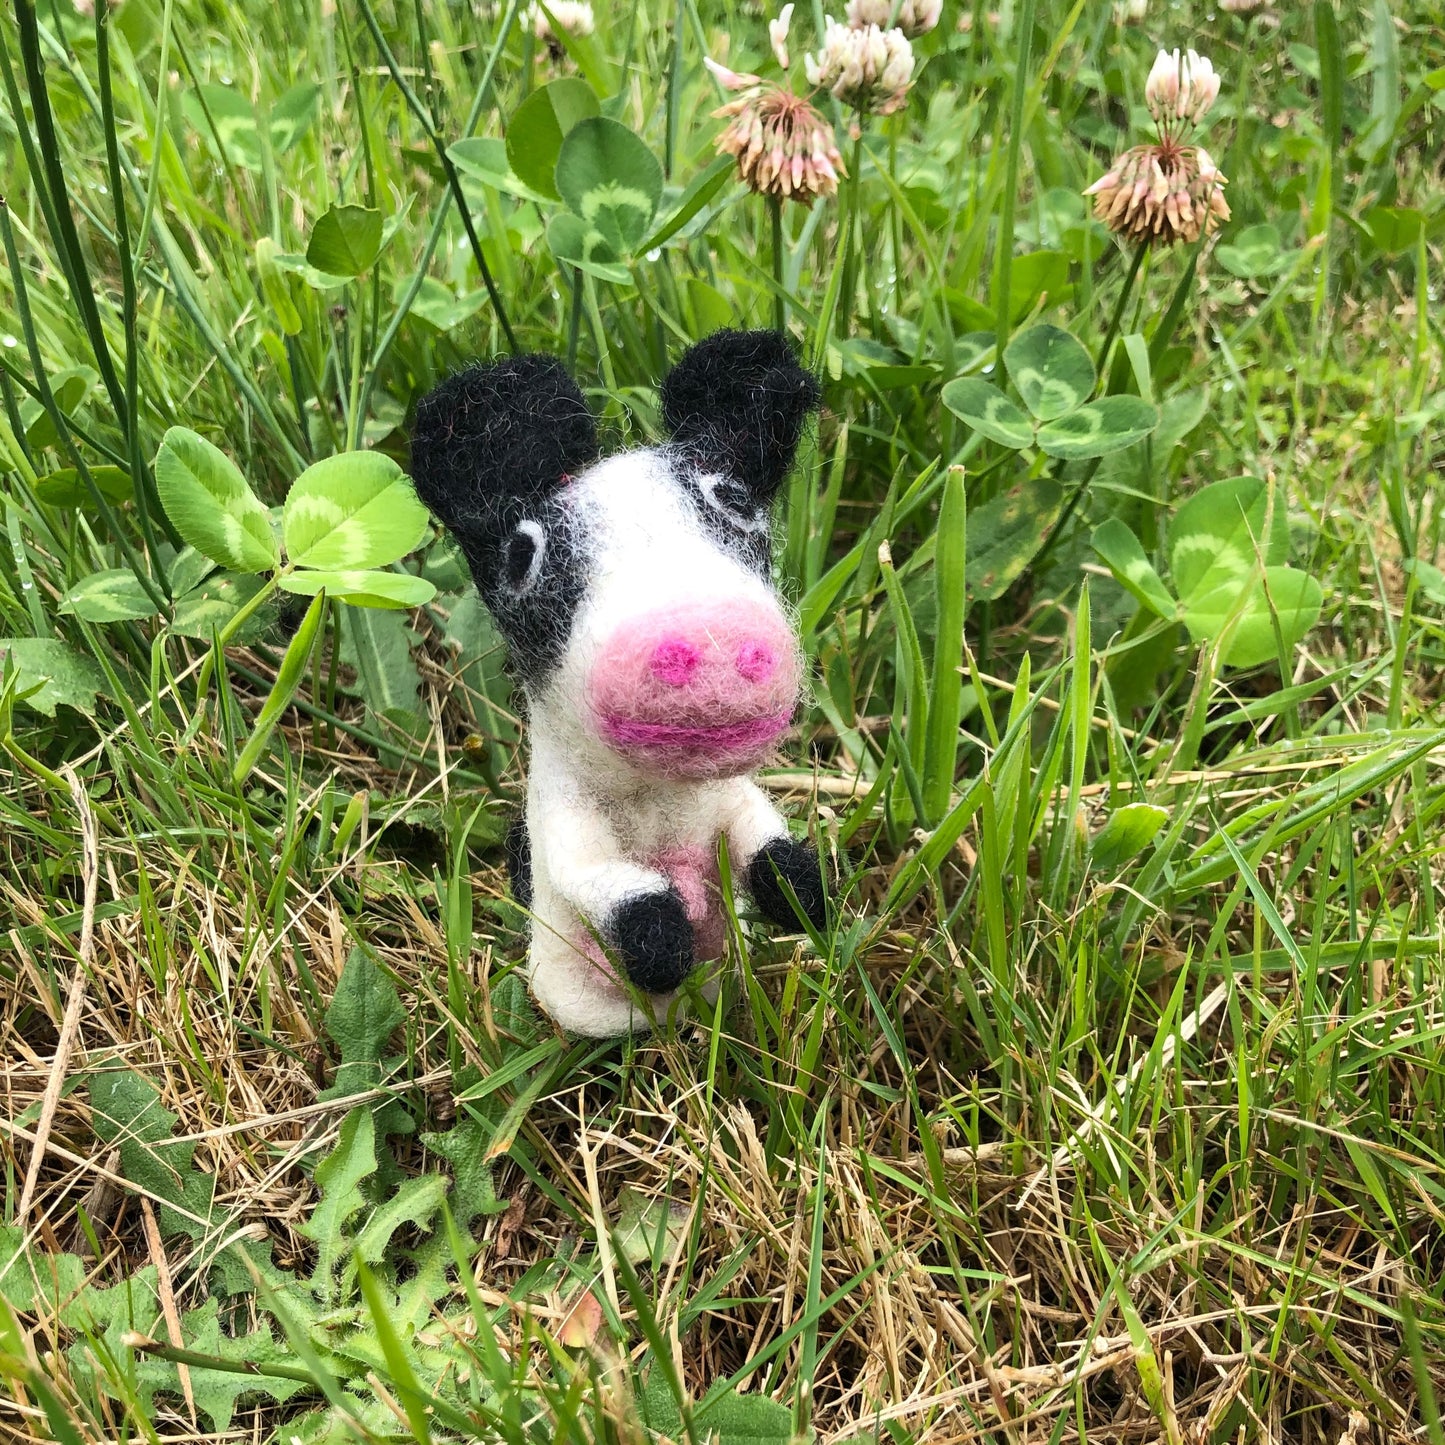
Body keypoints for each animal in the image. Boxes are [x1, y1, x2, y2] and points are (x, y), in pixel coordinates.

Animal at [413, 329, 832, 1034]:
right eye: (523, 558)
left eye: (737, 504)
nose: (710, 638)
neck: (658, 798)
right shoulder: (563, 814)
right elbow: (596, 879)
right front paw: (662, 943)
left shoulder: (728, 798)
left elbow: (761, 839)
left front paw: (807, 893)